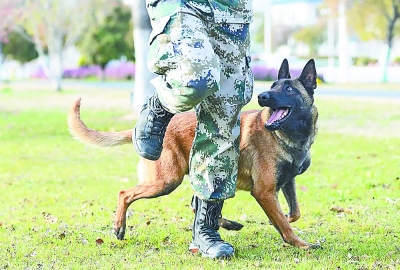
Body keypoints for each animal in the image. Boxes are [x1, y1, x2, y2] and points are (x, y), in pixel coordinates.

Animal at [68, 58, 318, 249]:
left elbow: (294, 213)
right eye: (274, 85)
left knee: (197, 202)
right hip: (166, 180)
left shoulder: (287, 182)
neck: (289, 137)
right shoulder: (264, 191)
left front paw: (284, 223)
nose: (262, 96)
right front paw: (300, 243)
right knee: (124, 193)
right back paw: (119, 226)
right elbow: (286, 223)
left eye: (288, 89)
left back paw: (223, 224)